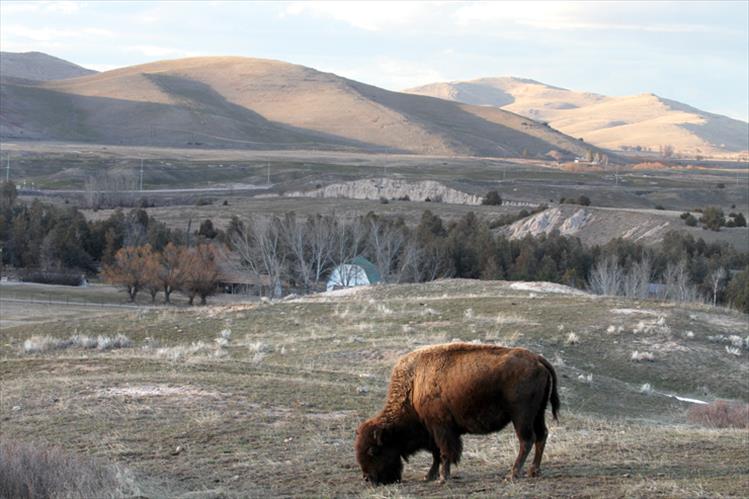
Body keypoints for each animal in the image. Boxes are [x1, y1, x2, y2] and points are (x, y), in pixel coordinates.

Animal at [354, 344, 560, 484]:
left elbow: (444, 453)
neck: (413, 387)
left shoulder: (441, 428)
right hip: (538, 414)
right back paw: (534, 471)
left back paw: (513, 474)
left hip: (521, 417)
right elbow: (437, 454)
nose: (367, 479)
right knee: (542, 435)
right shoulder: (433, 431)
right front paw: (429, 476)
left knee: (526, 440)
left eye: (373, 450)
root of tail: (537, 359)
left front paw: (442, 478)